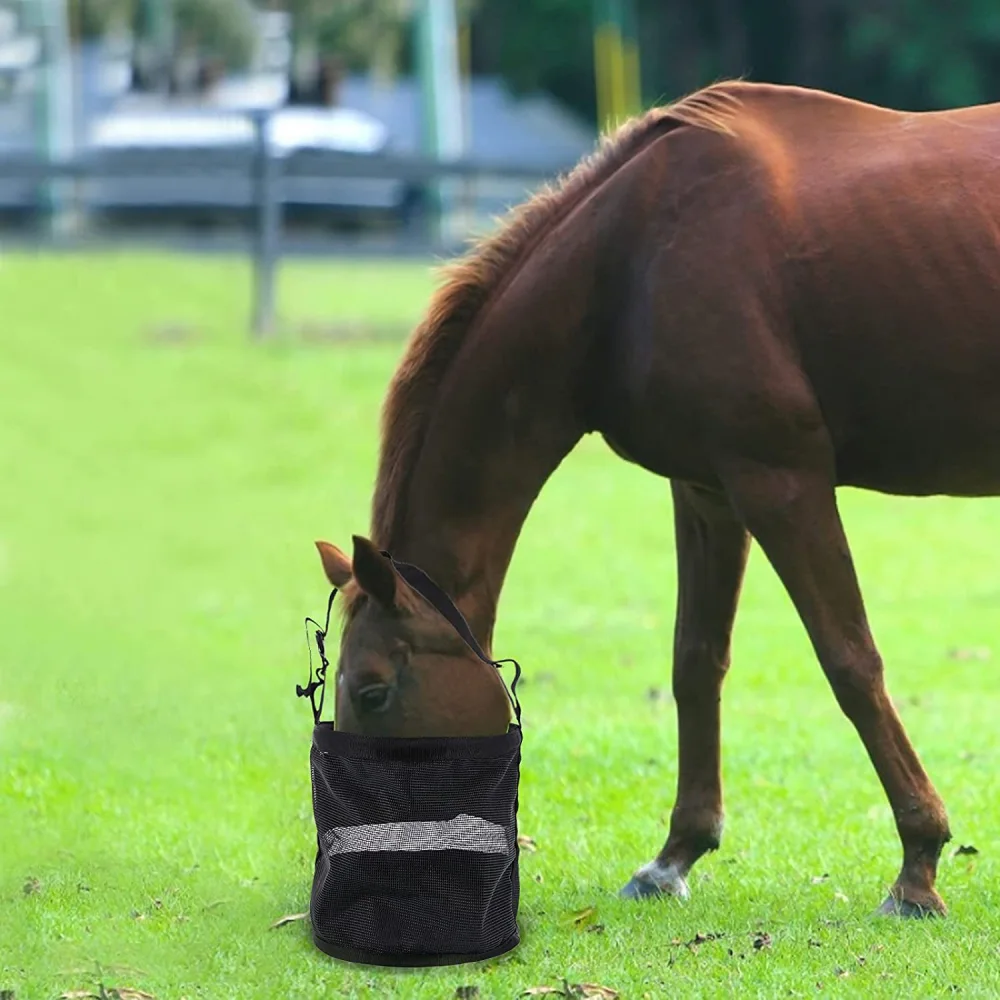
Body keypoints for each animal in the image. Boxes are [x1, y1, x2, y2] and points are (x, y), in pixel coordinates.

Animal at [316, 80, 1000, 920]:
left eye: (374, 692)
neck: (631, 260)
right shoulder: (708, 490)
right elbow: (695, 661)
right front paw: (676, 855)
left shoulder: (781, 483)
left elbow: (850, 662)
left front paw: (918, 864)